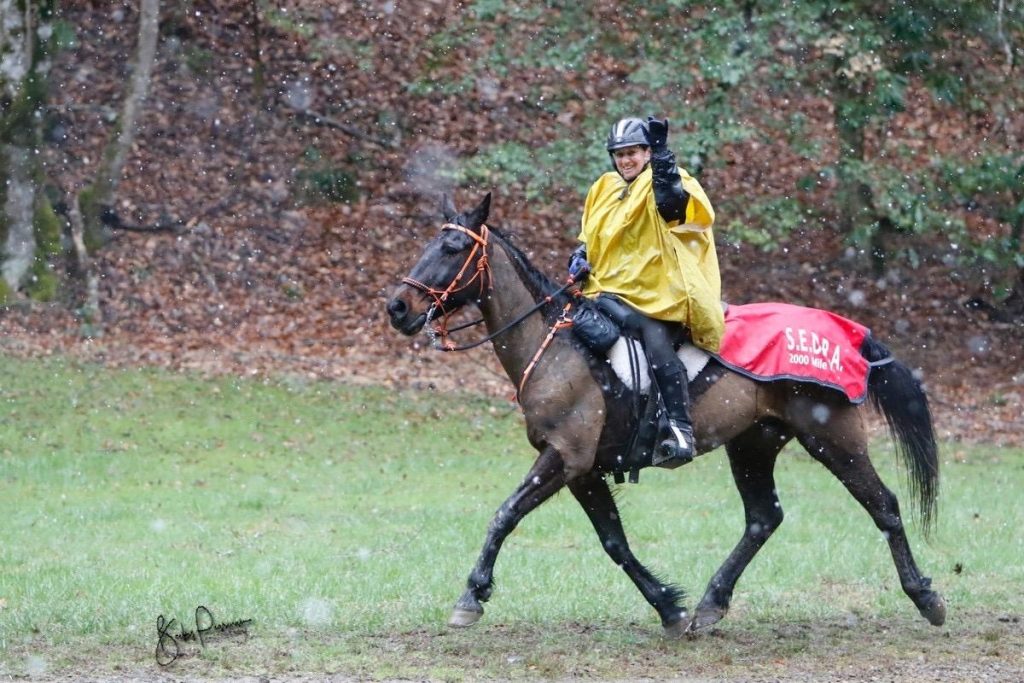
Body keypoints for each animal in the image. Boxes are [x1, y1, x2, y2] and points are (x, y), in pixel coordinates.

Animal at [385, 192, 946, 636]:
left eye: (452, 249)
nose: (398, 307)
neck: (560, 345)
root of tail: (847, 330)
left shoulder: (564, 458)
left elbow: (505, 515)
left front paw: (472, 596)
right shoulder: (582, 469)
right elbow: (614, 541)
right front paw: (668, 607)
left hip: (833, 438)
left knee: (883, 505)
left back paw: (925, 597)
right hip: (754, 443)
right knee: (764, 518)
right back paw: (711, 603)